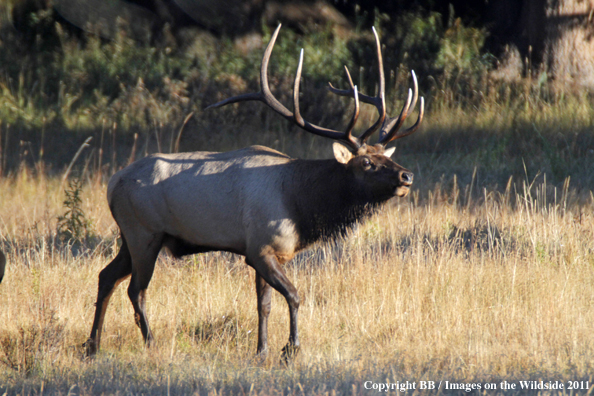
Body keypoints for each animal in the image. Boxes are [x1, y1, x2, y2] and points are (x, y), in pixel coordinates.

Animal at [85, 25, 424, 362]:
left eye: (384, 156)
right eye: (366, 163)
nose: (406, 175)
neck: (301, 204)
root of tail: (112, 183)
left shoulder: (269, 252)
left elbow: (264, 305)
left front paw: (261, 351)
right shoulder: (260, 249)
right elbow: (294, 296)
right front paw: (290, 349)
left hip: (129, 236)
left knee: (106, 276)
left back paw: (92, 346)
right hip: (144, 232)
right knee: (136, 289)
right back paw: (150, 343)